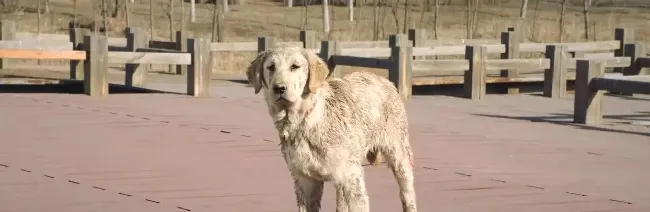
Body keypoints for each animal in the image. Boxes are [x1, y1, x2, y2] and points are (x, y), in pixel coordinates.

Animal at [246, 44, 418, 212]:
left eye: (295, 66)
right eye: (271, 67)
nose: (279, 88)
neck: (303, 121)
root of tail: (386, 81)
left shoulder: (351, 176)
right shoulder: (305, 181)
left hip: (399, 157)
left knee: (407, 193)